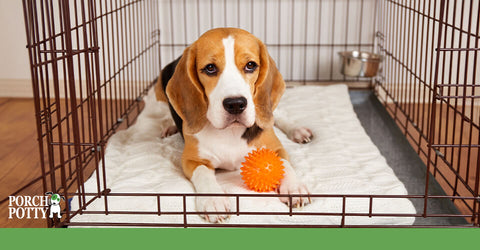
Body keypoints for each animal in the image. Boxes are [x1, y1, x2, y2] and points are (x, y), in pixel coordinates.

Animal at [156, 27, 314, 223]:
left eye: (250, 65)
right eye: (210, 68)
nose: (236, 104)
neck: (230, 132)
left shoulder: (276, 148)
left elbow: (284, 164)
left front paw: (294, 187)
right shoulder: (191, 159)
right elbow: (203, 173)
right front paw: (213, 200)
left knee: (277, 116)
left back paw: (297, 130)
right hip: (160, 88)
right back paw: (168, 125)